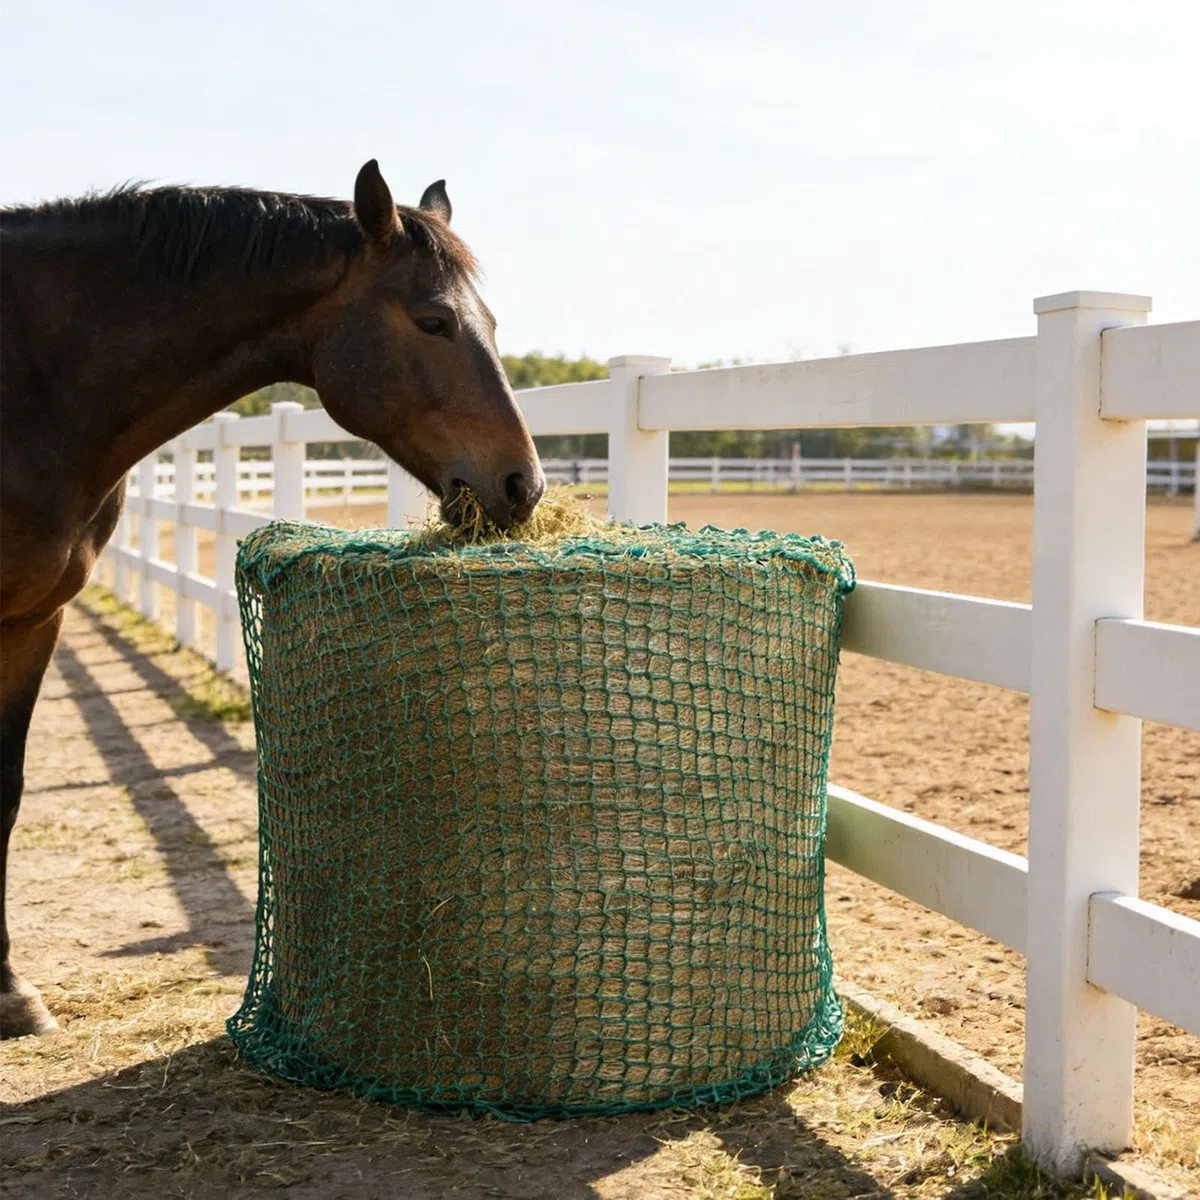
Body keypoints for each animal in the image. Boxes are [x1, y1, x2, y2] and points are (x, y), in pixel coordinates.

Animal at [0, 160, 545, 1038]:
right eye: (433, 321)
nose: (523, 485)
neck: (34, 382)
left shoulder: (33, 621)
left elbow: (6, 793)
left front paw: (11, 992)